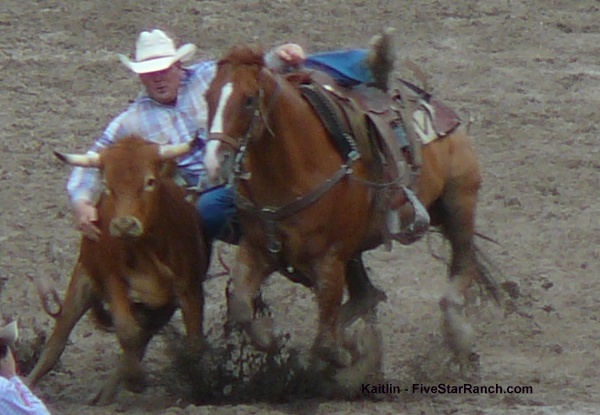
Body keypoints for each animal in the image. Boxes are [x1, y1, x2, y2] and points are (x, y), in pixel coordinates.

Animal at [202, 45, 496, 368]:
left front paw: (347, 360)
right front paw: (273, 337)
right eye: (207, 97)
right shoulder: (257, 248)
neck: (293, 171)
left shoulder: (329, 259)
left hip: (459, 201)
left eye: (248, 100)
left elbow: (326, 344)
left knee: (462, 264)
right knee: (367, 294)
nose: (214, 161)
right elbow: (241, 305)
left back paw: (458, 334)